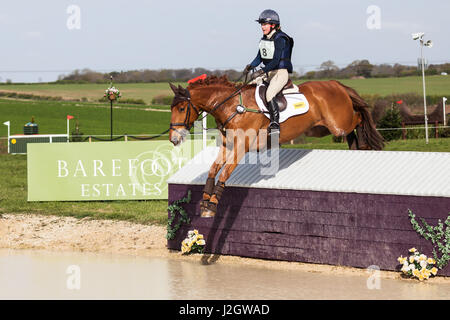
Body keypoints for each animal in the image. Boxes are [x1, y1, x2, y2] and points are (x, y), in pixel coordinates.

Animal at [169, 75, 384, 218]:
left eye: (181, 108)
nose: (173, 138)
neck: (231, 107)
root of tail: (335, 83)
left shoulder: (241, 147)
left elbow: (224, 173)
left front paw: (212, 205)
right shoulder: (227, 146)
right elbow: (213, 170)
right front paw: (205, 201)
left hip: (339, 123)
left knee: (360, 116)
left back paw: (365, 143)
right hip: (321, 129)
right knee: (352, 129)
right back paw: (357, 147)